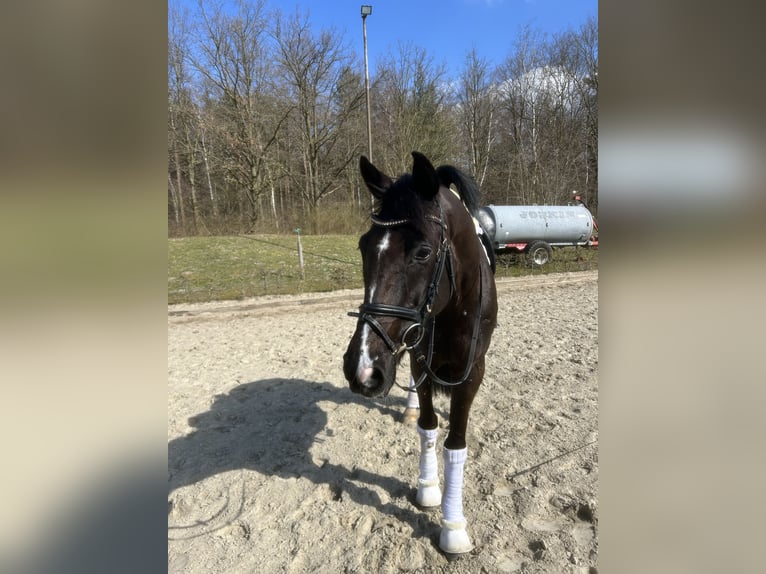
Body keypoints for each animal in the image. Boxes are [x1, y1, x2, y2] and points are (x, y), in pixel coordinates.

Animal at [342, 151, 498, 555]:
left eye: (423, 252)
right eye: (363, 246)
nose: (362, 368)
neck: (451, 308)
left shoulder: (472, 371)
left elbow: (456, 443)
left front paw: (453, 526)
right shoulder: (419, 361)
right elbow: (428, 428)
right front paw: (428, 489)